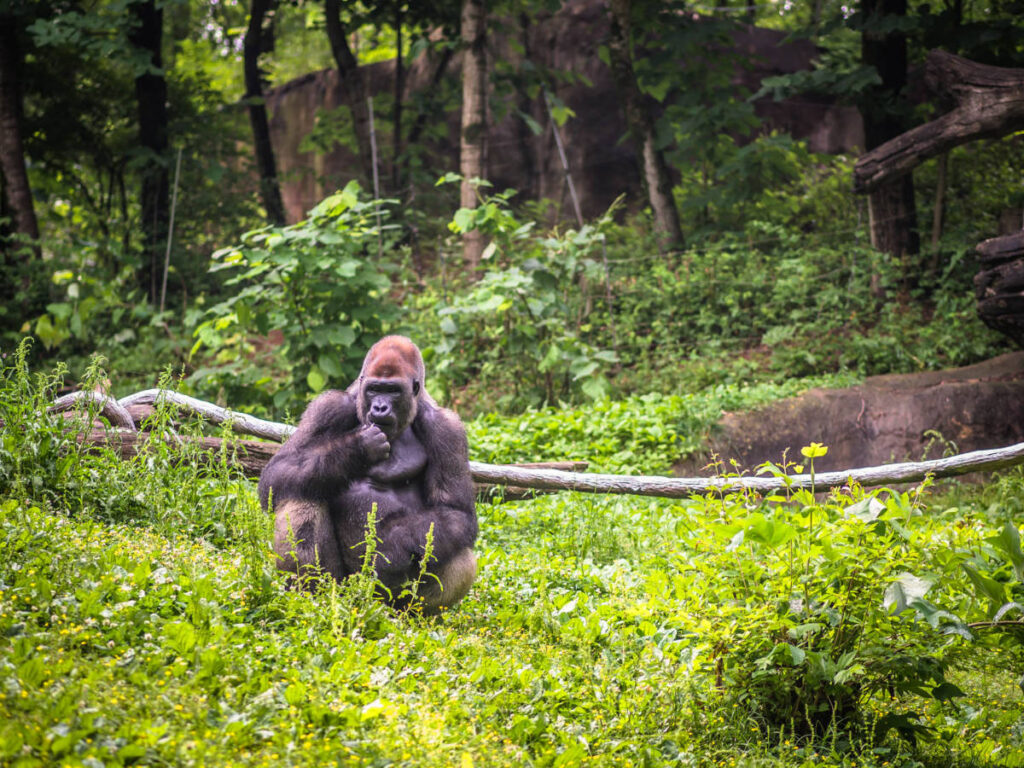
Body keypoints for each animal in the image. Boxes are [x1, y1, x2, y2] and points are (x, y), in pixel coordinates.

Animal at [258, 336, 478, 612]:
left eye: (393, 390)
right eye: (374, 388)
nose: (380, 407)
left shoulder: (447, 429)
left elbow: (454, 511)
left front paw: (391, 550)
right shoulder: (328, 408)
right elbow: (278, 473)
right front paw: (358, 448)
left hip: (386, 599)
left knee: (461, 556)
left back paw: (416, 615)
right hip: (342, 588)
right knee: (301, 495)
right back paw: (312, 598)